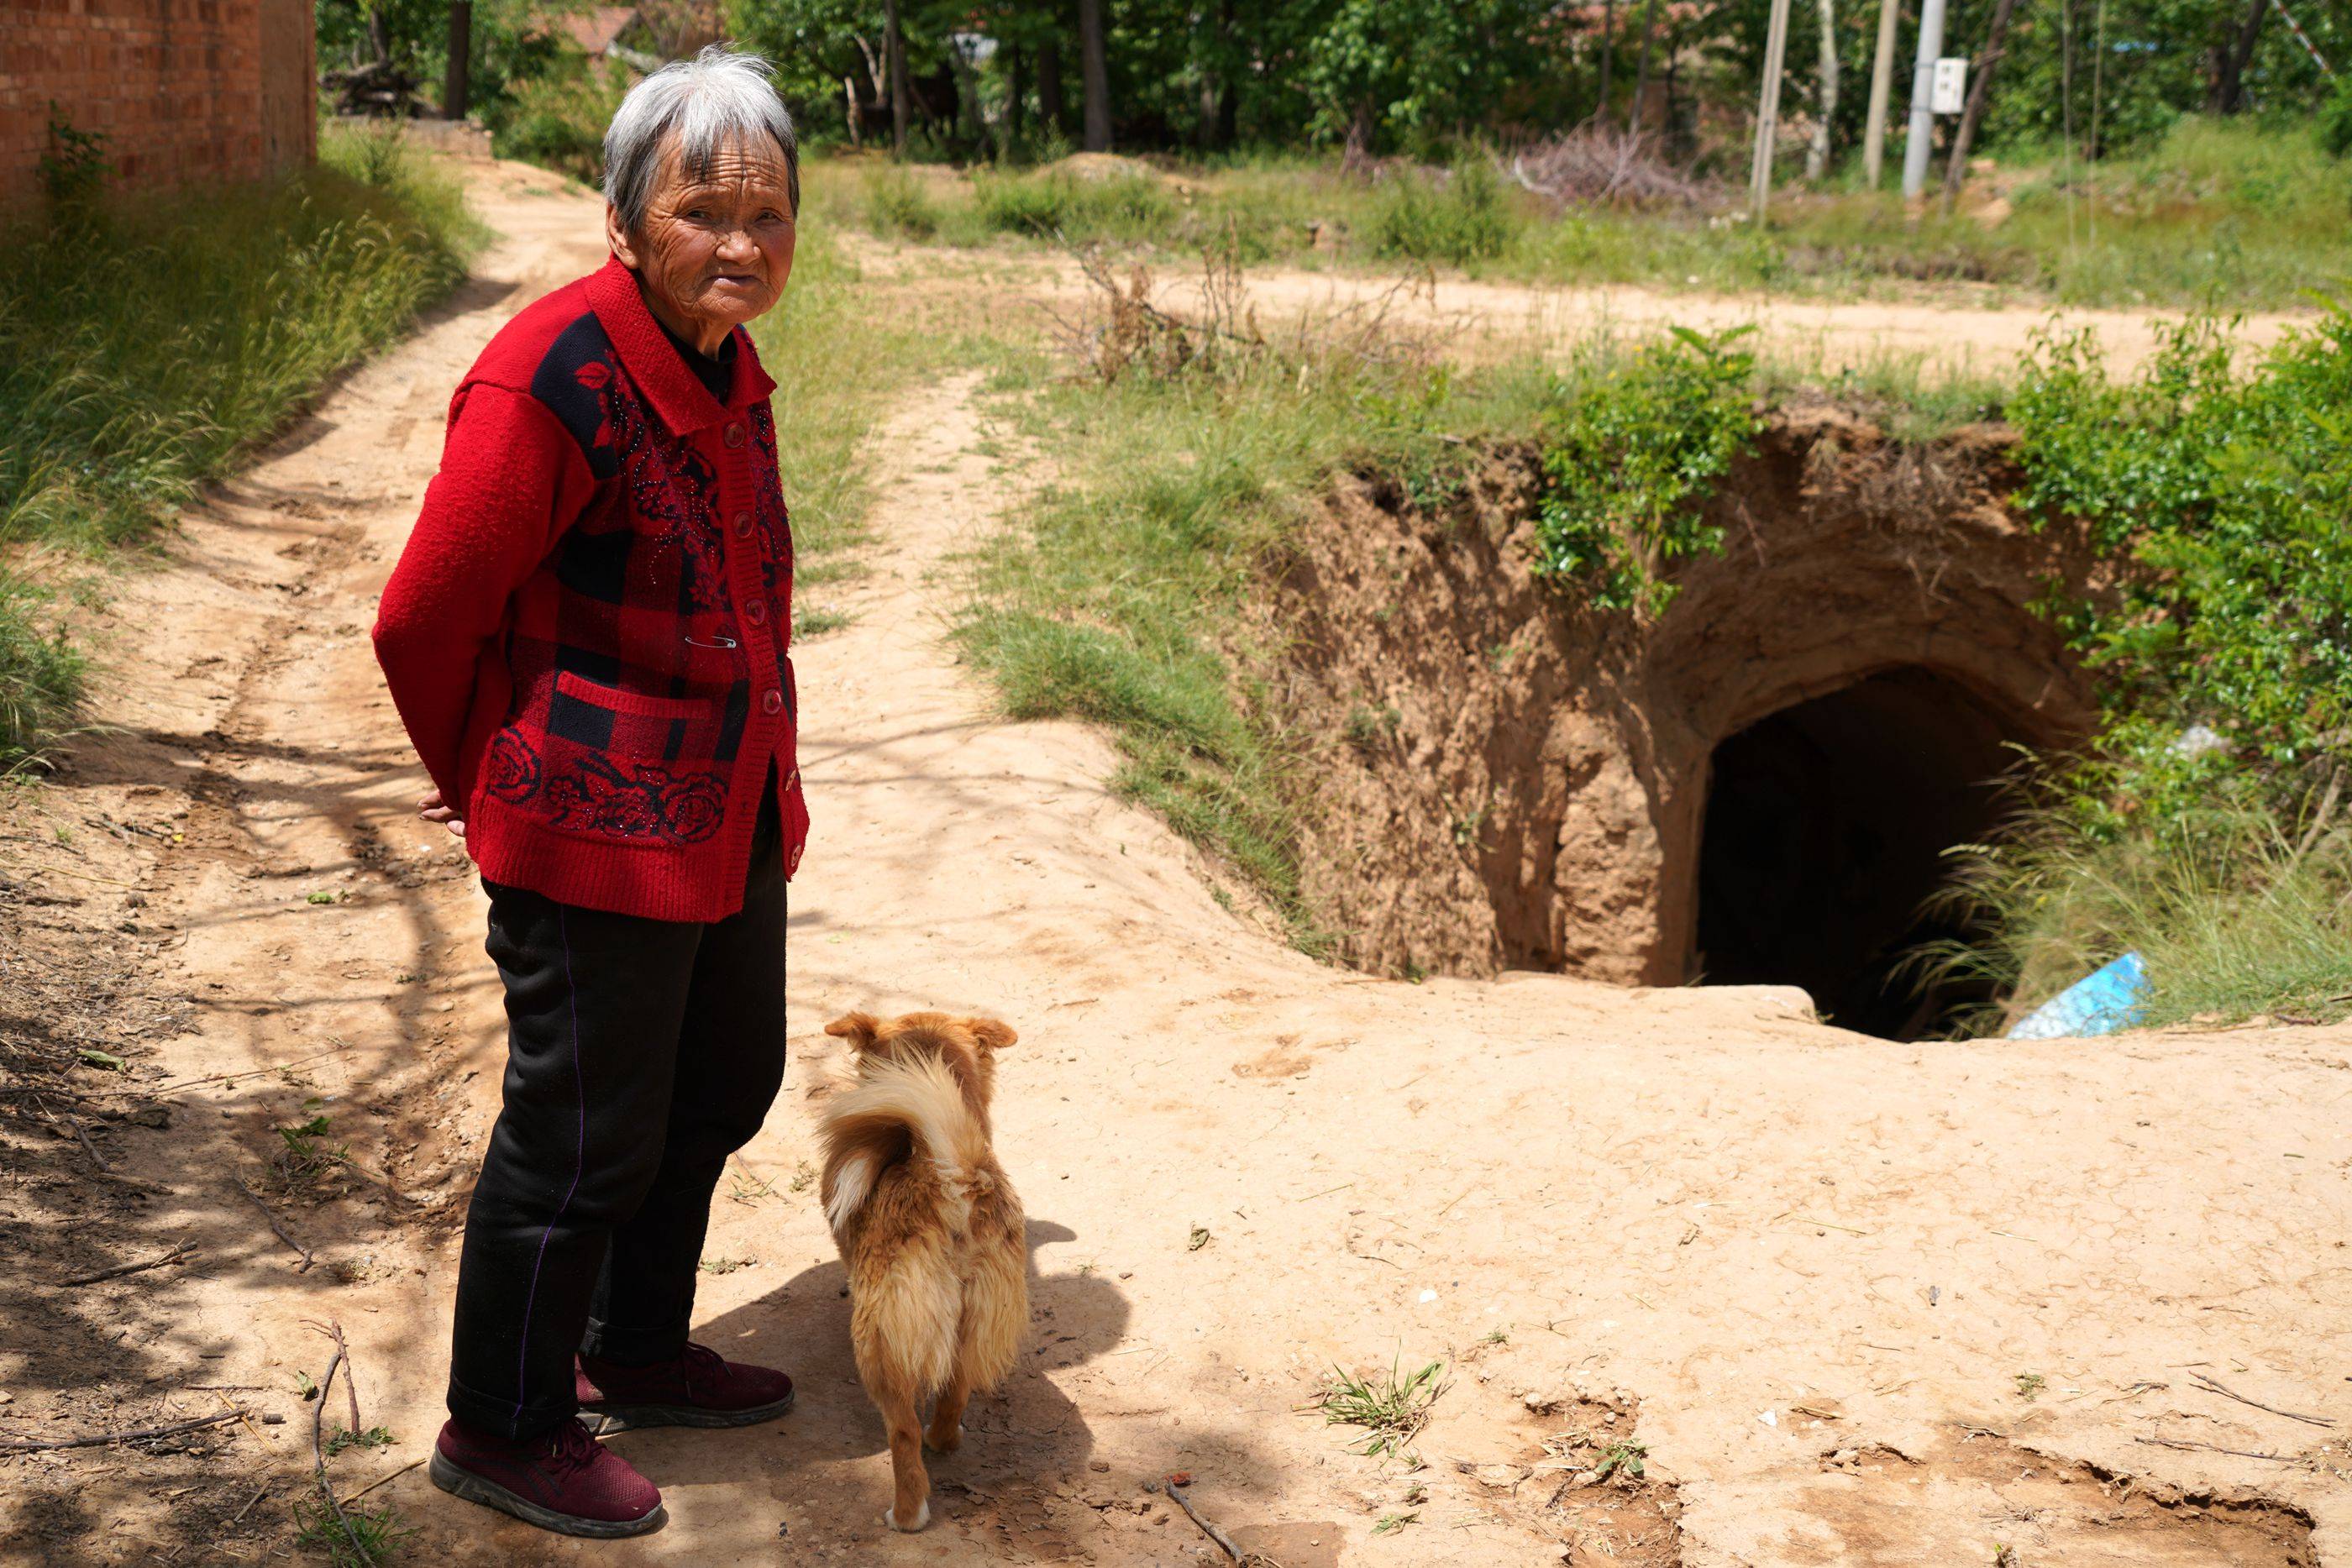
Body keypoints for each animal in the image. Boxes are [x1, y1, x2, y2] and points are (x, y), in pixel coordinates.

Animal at [818, 1006, 1021, 1533]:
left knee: (904, 1432)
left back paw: (906, 1515)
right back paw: (944, 1440)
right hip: (970, 1324)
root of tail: (952, 1179)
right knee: (954, 1392)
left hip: (879, 1347)